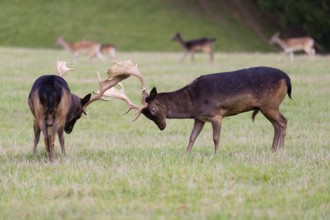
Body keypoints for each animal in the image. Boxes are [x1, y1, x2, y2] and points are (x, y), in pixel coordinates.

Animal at [121, 66, 292, 154]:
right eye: (147, 115)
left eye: (153, 109)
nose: (162, 127)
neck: (193, 102)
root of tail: (288, 79)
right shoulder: (200, 118)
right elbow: (192, 137)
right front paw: (186, 154)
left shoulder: (216, 113)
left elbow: (216, 138)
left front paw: (216, 155)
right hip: (268, 107)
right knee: (277, 124)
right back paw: (273, 149)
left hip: (270, 104)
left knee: (283, 121)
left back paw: (282, 150)